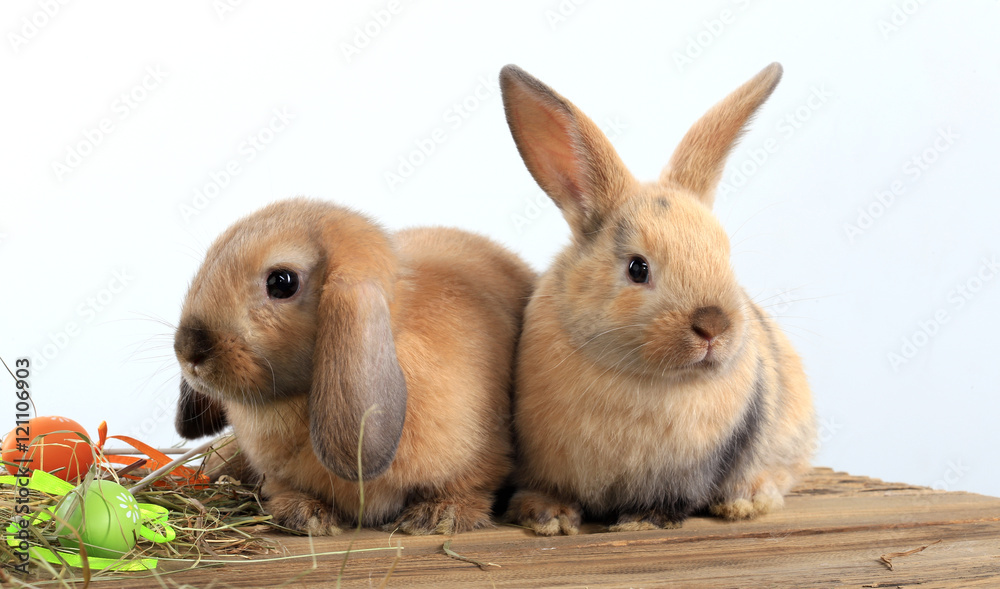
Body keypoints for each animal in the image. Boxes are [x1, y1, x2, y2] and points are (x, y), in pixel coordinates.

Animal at [173, 197, 535, 535]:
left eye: (282, 282)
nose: (189, 353)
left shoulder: (485, 456)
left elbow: (469, 486)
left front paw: (437, 517)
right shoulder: (276, 475)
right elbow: (282, 489)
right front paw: (304, 514)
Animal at [499, 63, 816, 535]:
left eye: (725, 255)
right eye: (638, 268)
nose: (713, 325)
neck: (643, 377)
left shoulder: (687, 473)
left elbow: (671, 499)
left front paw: (641, 522)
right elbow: (547, 490)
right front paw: (548, 518)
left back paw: (745, 501)